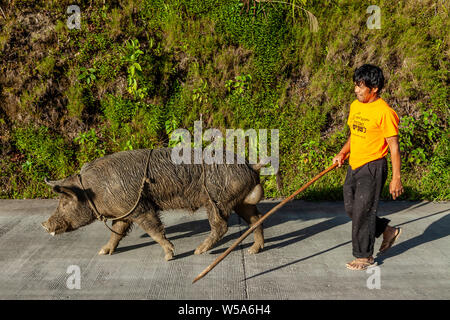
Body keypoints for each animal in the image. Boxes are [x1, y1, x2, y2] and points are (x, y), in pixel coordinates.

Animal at [41, 148, 264, 260]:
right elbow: (117, 231)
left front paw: (169, 256)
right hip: (239, 201)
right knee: (255, 218)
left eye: (64, 203)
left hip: (216, 199)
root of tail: (249, 166)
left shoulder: (140, 207)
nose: (44, 224)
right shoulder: (124, 211)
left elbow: (153, 229)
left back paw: (198, 251)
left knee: (221, 225)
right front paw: (102, 252)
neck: (94, 190)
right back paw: (254, 250)